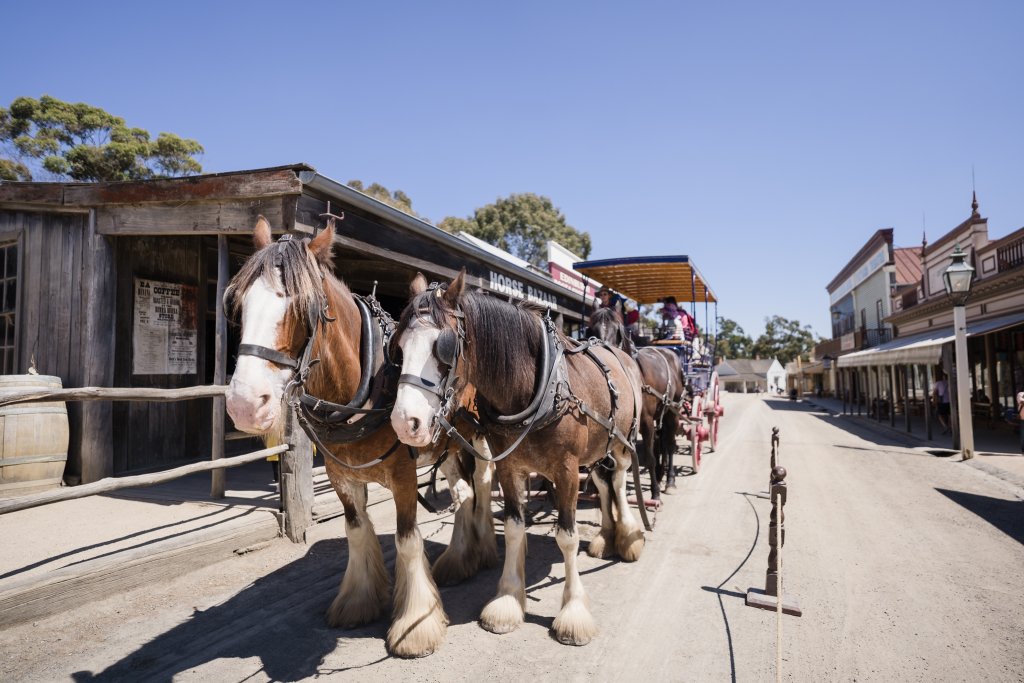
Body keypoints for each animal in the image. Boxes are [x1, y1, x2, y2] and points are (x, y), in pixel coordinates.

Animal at [223, 218, 495, 655]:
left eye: (305, 307)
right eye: (238, 301)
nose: (245, 404)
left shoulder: (403, 477)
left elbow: (406, 539)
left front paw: (415, 625)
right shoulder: (341, 478)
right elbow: (355, 531)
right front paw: (358, 600)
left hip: (479, 436)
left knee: (483, 484)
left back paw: (483, 548)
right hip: (447, 444)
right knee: (462, 492)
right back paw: (459, 559)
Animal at [387, 272, 643, 647]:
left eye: (442, 348)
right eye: (399, 348)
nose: (406, 423)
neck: (537, 390)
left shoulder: (566, 471)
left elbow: (567, 536)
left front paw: (573, 613)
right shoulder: (508, 467)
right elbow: (512, 528)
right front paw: (508, 601)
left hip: (622, 443)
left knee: (621, 482)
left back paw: (628, 537)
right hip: (597, 450)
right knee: (602, 481)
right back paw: (606, 537)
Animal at [589, 309, 684, 497]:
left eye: (616, 330)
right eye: (592, 329)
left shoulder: (645, 422)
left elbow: (649, 457)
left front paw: (655, 493)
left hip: (672, 411)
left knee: (669, 445)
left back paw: (669, 480)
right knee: (661, 443)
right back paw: (661, 475)